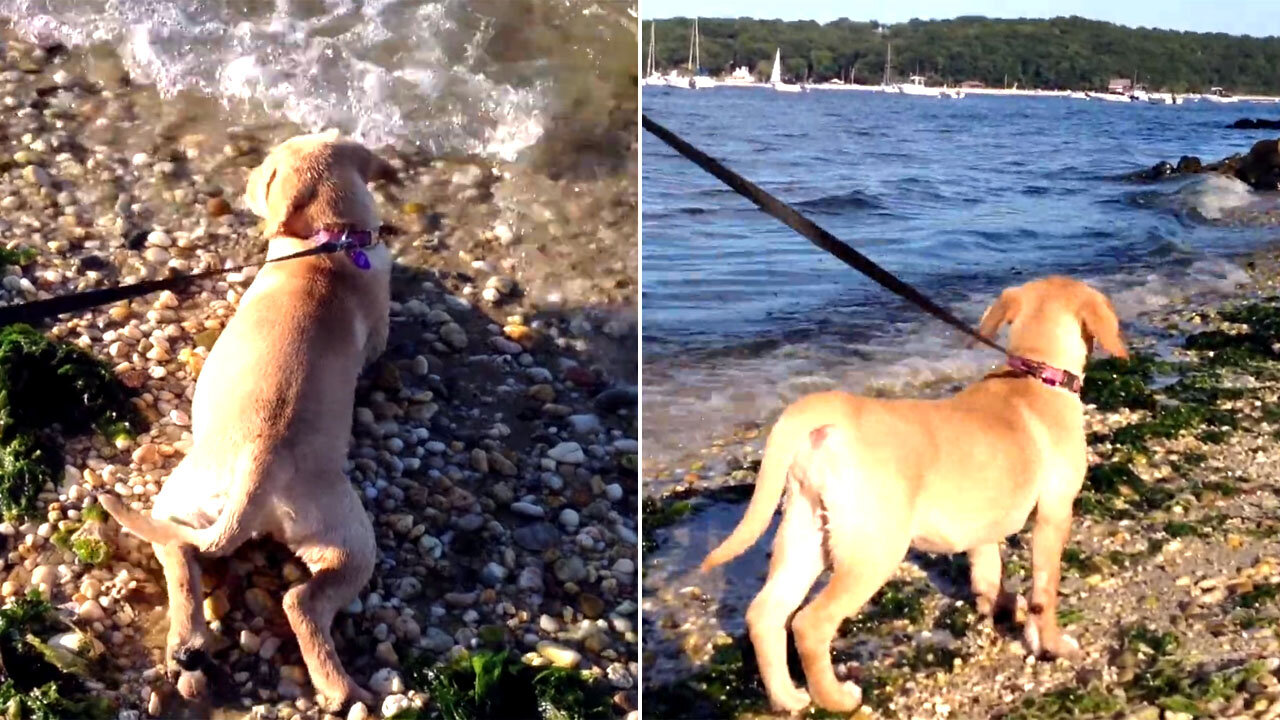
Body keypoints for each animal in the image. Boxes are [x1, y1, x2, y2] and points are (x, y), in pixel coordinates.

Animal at [701, 274, 1131, 712]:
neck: (1035, 375)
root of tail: (835, 418)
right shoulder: (1054, 515)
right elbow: (1045, 591)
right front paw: (1052, 644)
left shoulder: (983, 528)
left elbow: (989, 574)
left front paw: (998, 608)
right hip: (873, 551)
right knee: (809, 623)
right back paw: (837, 698)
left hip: (807, 533)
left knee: (765, 613)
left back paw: (787, 696)